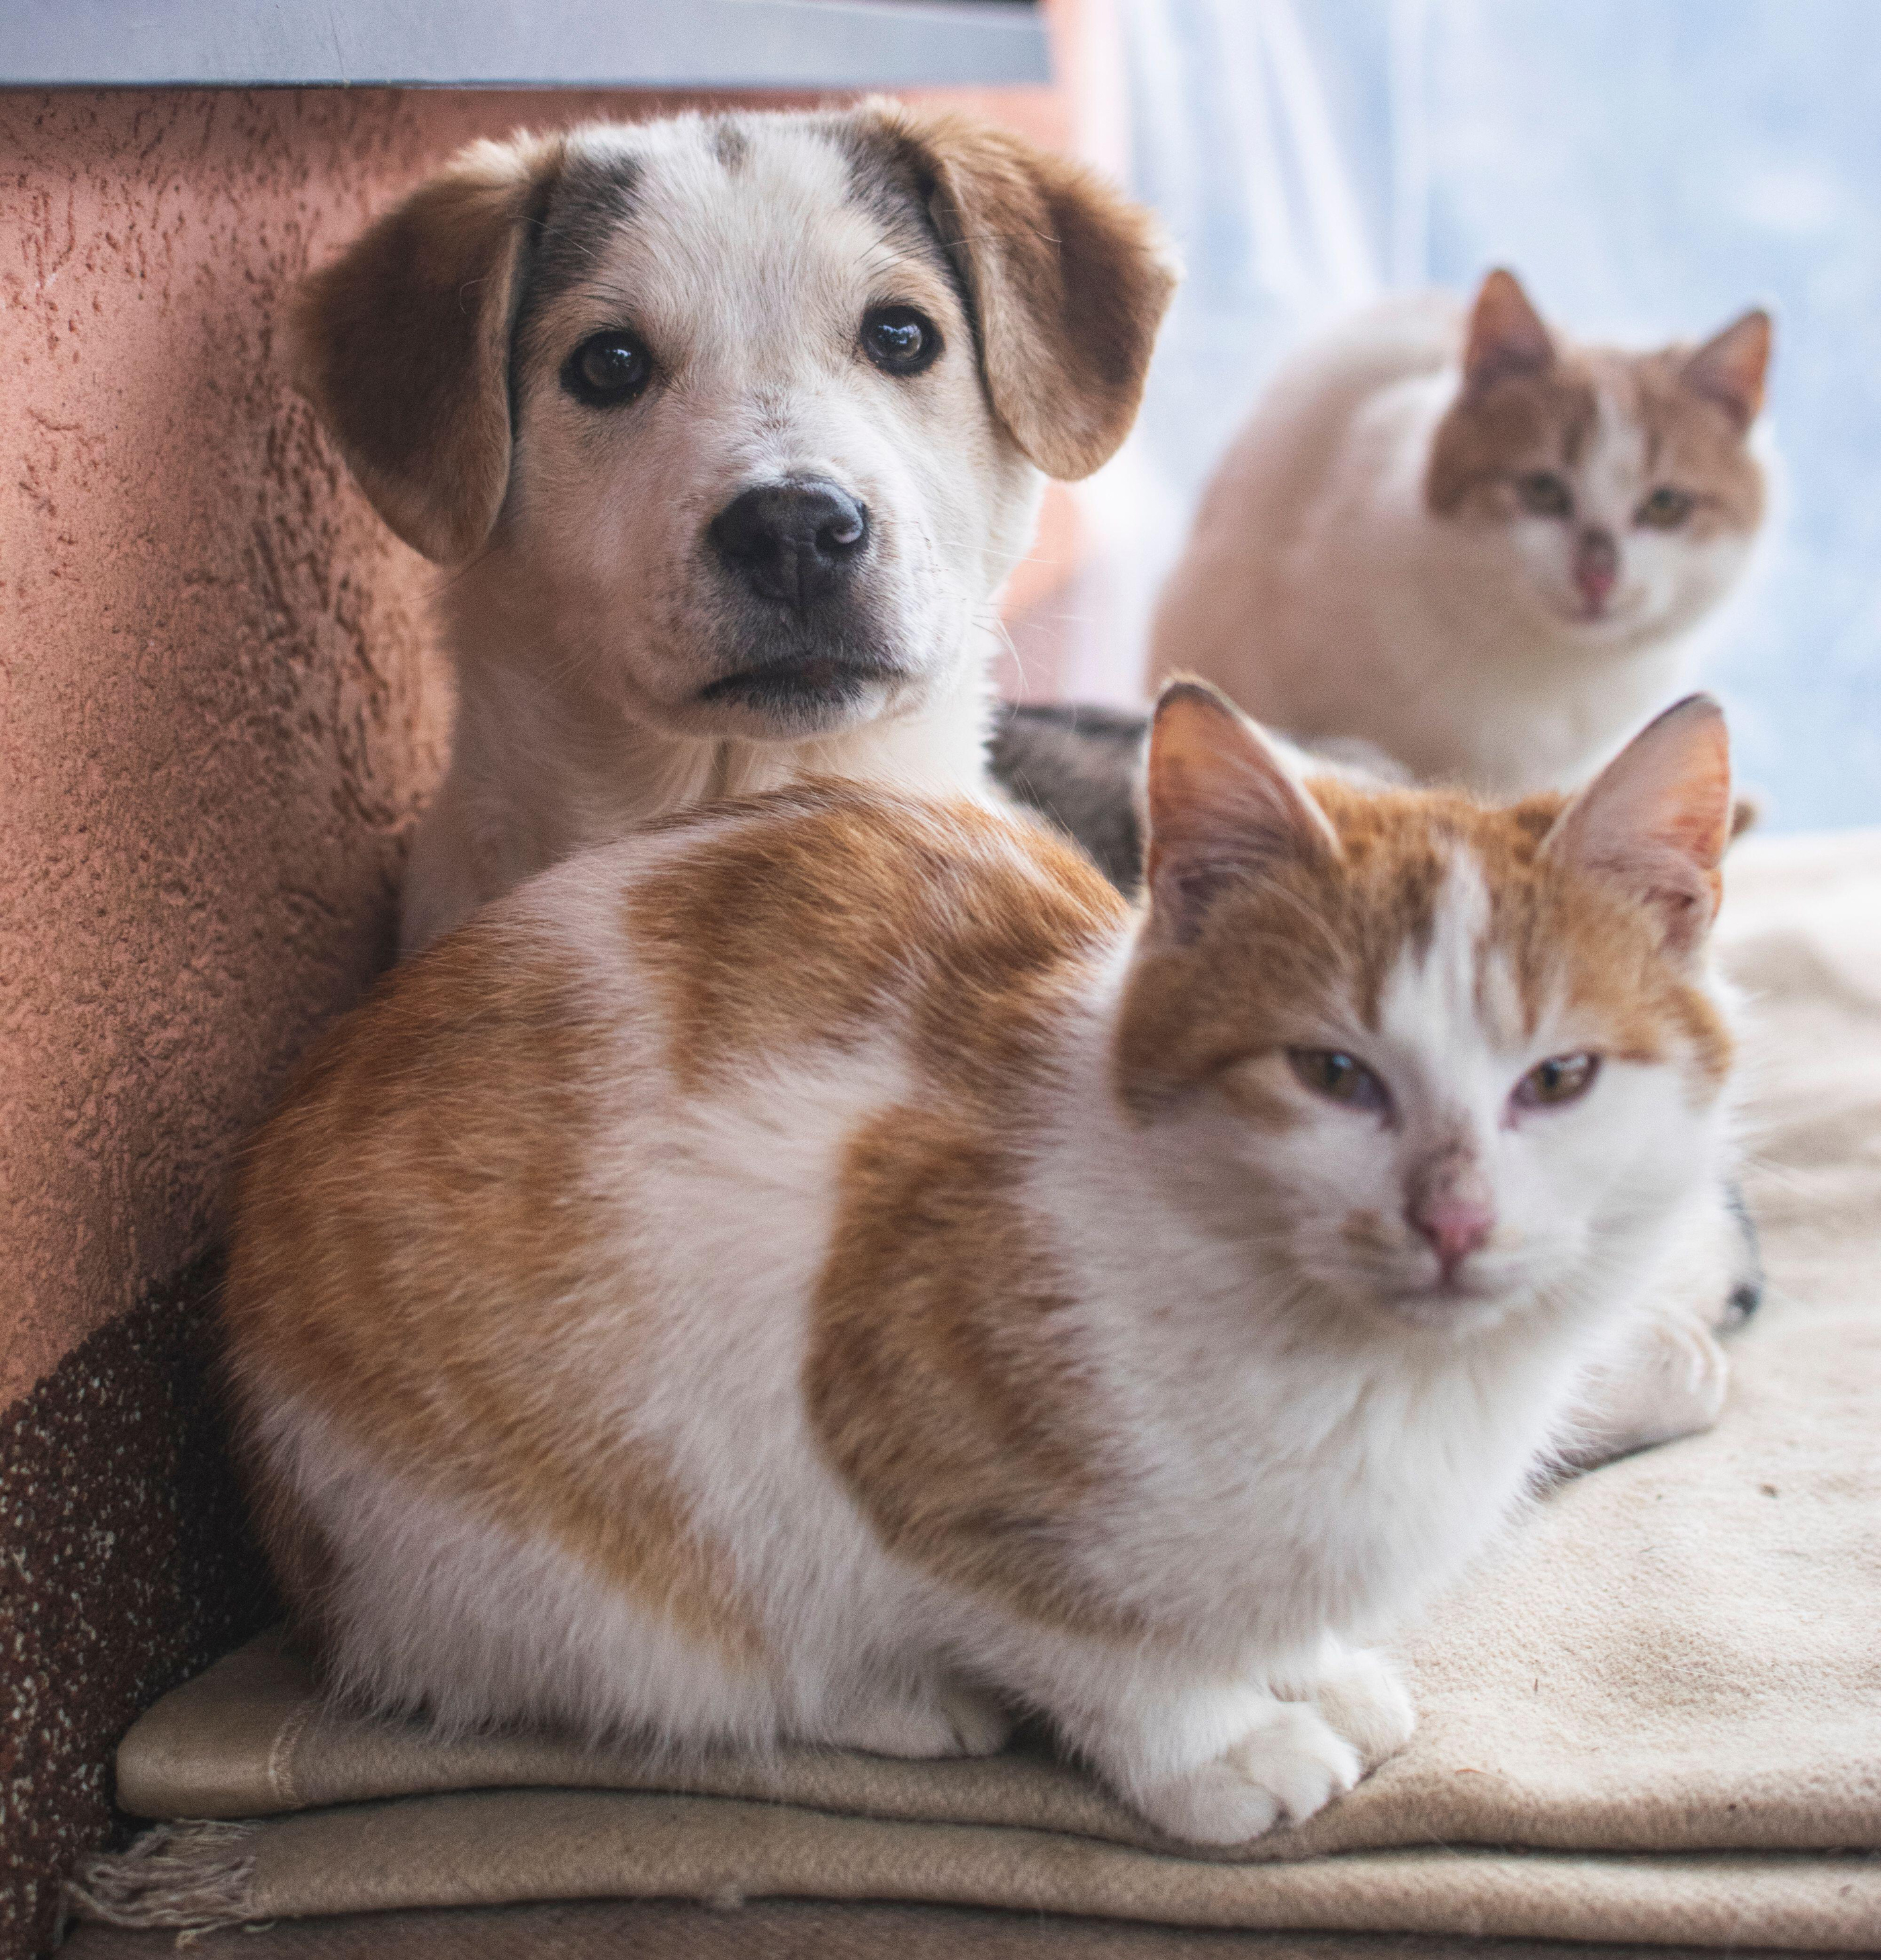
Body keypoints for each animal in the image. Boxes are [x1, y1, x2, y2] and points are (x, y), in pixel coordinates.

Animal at [227, 682, 1740, 1842]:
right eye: (1332, 1072)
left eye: (1558, 1078)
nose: (1453, 1218)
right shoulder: (900, 1435)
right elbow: (1085, 1635)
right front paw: (1217, 1743)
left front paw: (1308, 1671)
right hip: (543, 1535)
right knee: (668, 1655)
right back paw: (890, 1696)